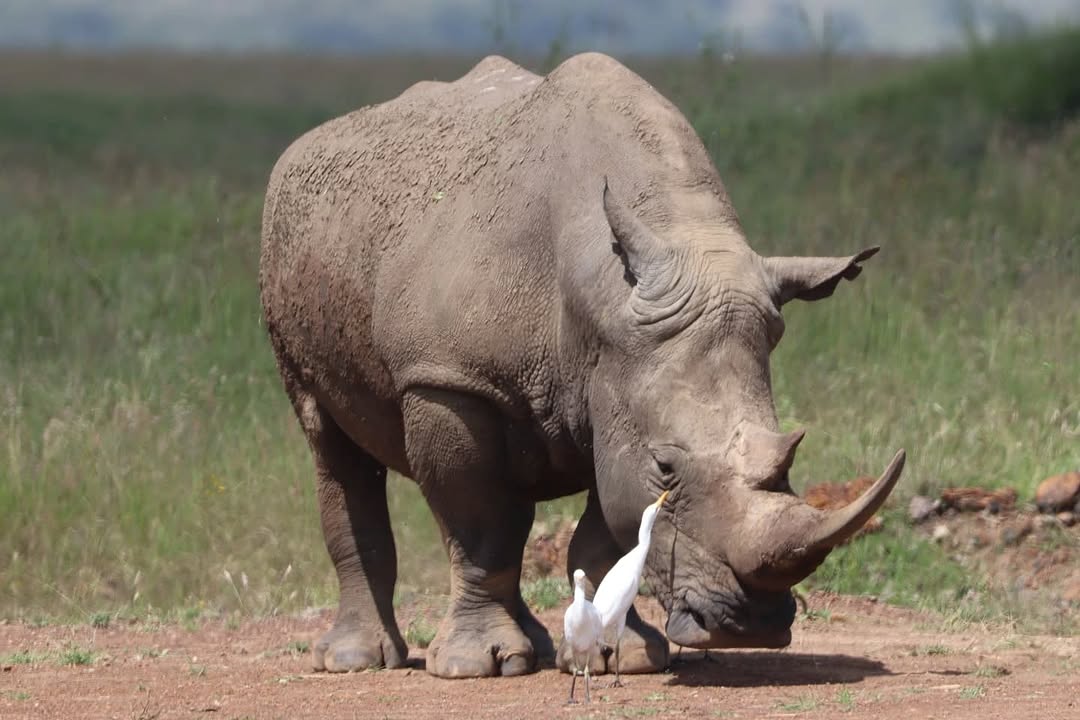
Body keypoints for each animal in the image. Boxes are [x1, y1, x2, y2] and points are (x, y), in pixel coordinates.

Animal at [258, 52, 905, 679]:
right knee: (331, 442)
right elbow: (479, 527)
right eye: (665, 469)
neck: (603, 290)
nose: (753, 627)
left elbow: (604, 534)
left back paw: (535, 649)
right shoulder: (450, 380)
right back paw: (357, 661)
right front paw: (471, 665)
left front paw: (621, 656)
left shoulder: (613, 383)